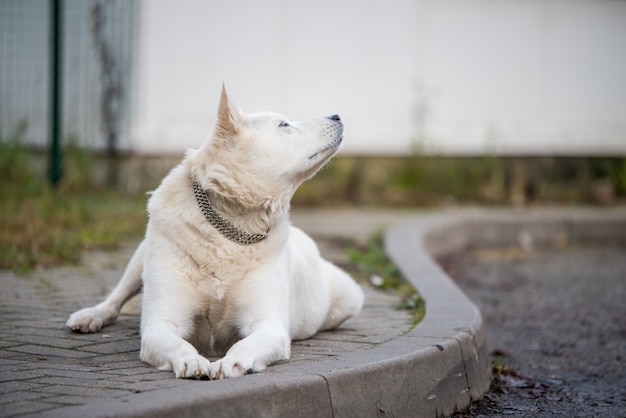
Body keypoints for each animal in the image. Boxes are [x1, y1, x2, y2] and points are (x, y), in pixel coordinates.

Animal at [67, 85, 360, 378]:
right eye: (284, 124)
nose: (337, 116)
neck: (229, 228)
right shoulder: (161, 324)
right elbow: (178, 344)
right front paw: (191, 361)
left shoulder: (269, 325)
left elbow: (246, 344)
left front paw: (232, 362)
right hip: (140, 255)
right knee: (116, 298)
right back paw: (89, 316)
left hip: (351, 298)